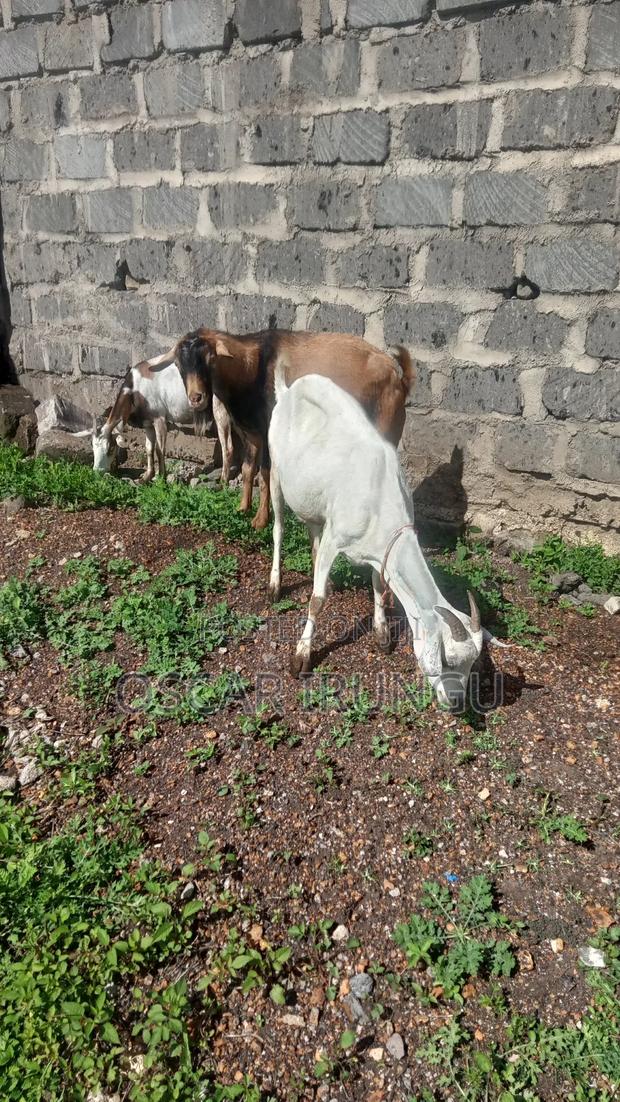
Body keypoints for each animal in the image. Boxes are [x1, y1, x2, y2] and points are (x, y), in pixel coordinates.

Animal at [171, 328, 414, 530]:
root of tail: (400, 379)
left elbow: (265, 473)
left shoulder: (269, 431)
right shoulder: (253, 433)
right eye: (179, 365)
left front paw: (260, 520)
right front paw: (243, 507)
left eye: (209, 358)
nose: (196, 398)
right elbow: (248, 469)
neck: (253, 367)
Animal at [268, 374, 485, 712]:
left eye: (472, 663)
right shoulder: (336, 537)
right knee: (278, 527)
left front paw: (382, 632)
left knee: (312, 531)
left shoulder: (381, 549)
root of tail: (288, 389)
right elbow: (316, 600)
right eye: (446, 659)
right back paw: (275, 584)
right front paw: (301, 656)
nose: (456, 700)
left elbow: (379, 583)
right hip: (276, 470)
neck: (380, 497)